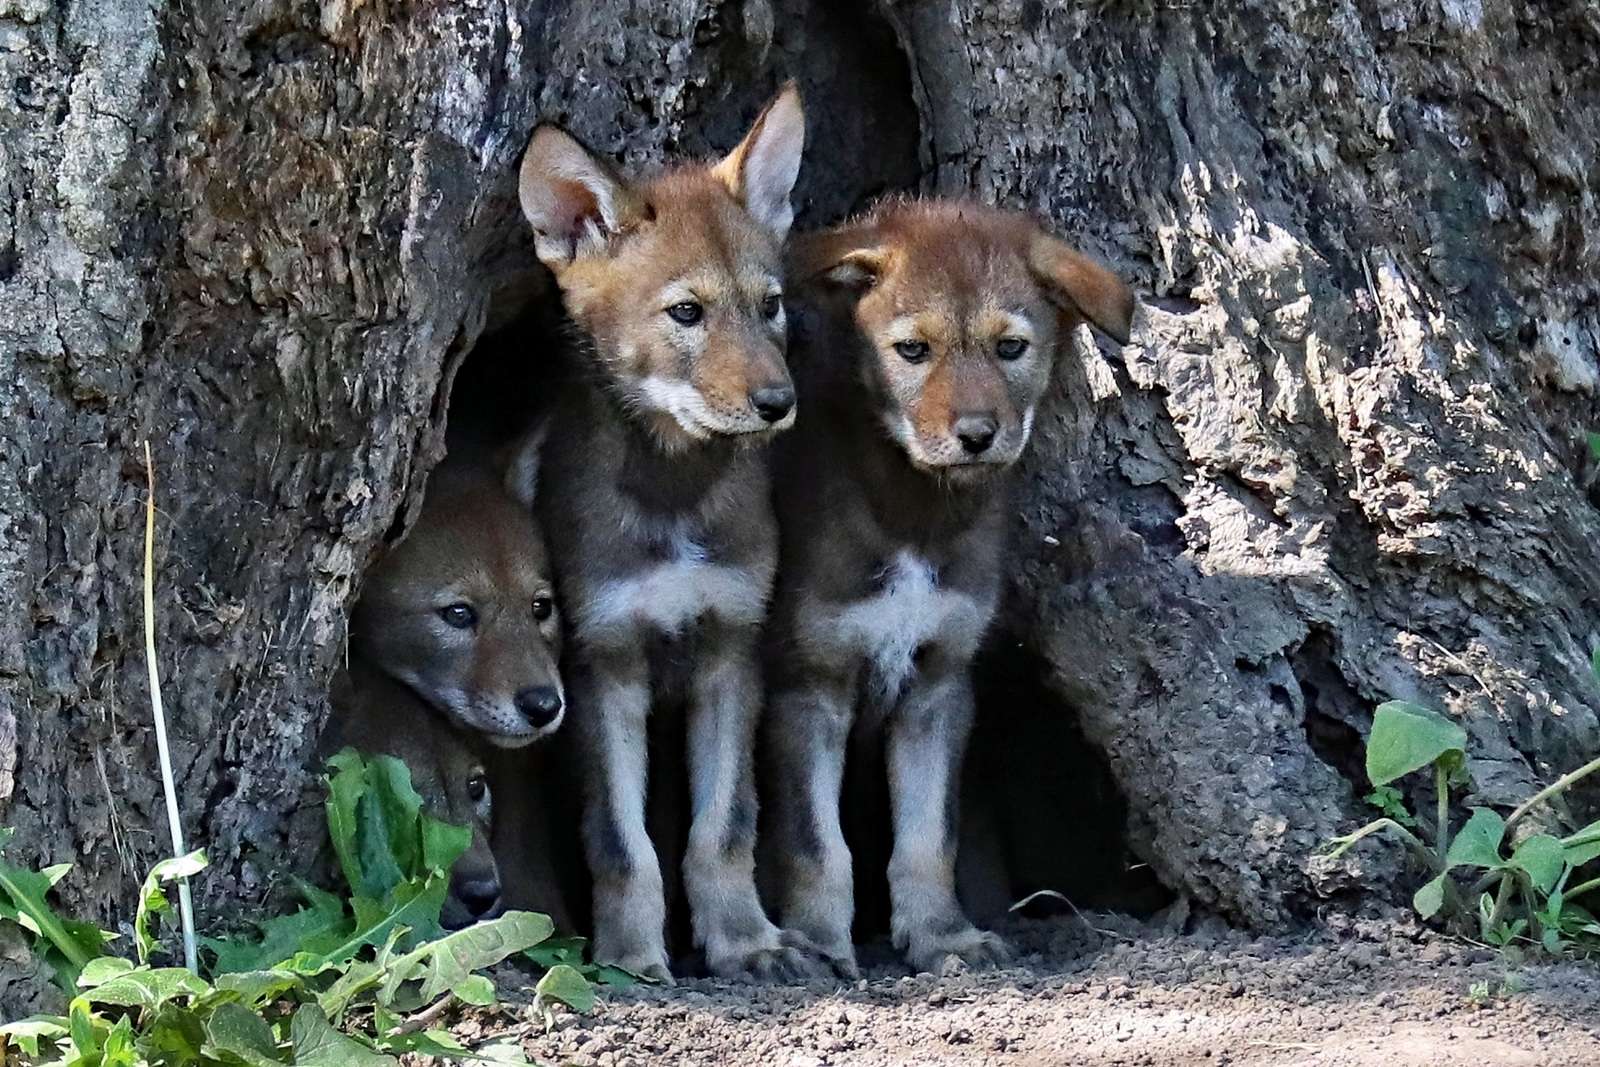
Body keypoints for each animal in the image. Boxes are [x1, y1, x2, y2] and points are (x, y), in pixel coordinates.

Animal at [517, 85, 811, 981]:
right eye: (687, 312)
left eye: (770, 304)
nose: (778, 403)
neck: (676, 497)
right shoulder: (603, 664)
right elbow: (622, 842)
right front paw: (630, 958)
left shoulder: (730, 649)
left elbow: (726, 826)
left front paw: (745, 941)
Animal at [764, 200, 1134, 976]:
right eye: (912, 350)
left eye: (1011, 347)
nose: (976, 435)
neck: (917, 514)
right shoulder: (808, 684)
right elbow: (817, 842)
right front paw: (817, 940)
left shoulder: (939, 683)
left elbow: (929, 835)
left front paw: (942, 935)